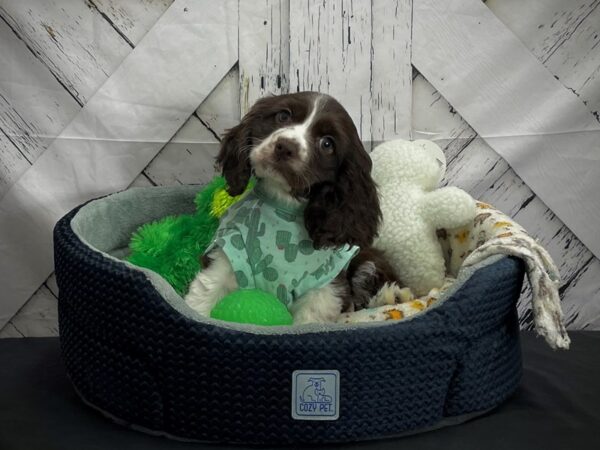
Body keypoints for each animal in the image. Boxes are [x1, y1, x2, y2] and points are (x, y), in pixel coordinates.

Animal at [185, 91, 400, 324]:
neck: (282, 201)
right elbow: (203, 298)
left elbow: (307, 320)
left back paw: (392, 296)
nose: (285, 146)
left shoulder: (322, 288)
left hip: (366, 258)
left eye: (327, 144)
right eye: (283, 116)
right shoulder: (228, 255)